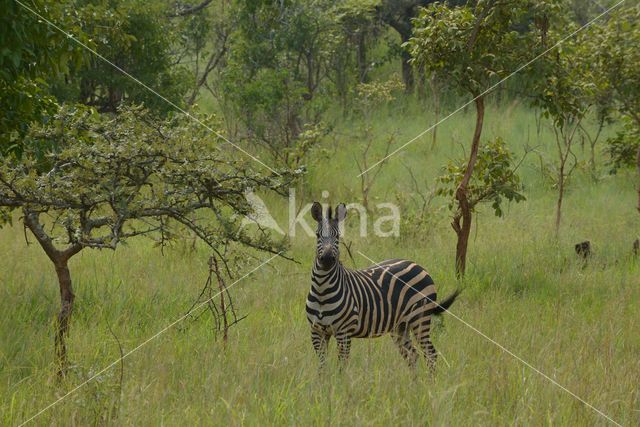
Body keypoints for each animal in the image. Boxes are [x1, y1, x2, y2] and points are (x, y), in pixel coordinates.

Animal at [306, 201, 460, 372]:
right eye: (318, 235)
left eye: (338, 236)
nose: (327, 259)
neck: (322, 290)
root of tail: (416, 264)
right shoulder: (316, 332)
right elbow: (322, 367)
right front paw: (324, 380)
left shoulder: (343, 332)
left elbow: (342, 367)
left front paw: (339, 380)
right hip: (400, 326)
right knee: (412, 355)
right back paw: (413, 380)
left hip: (420, 317)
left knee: (431, 354)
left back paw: (430, 380)